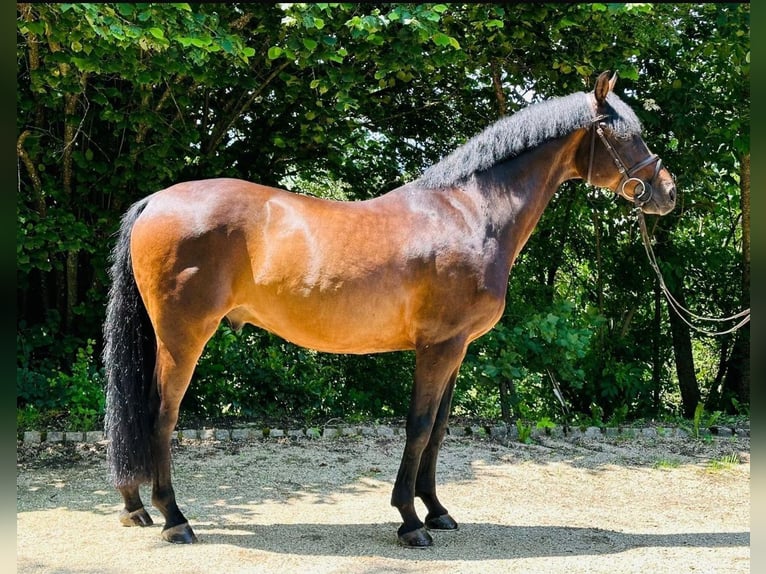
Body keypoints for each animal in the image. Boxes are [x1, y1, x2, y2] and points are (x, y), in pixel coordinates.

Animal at [103, 71, 680, 548]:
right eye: (627, 135)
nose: (668, 193)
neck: (469, 213)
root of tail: (156, 201)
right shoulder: (438, 347)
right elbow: (419, 426)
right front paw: (408, 520)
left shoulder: (456, 349)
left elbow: (440, 430)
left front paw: (437, 511)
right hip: (183, 339)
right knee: (160, 415)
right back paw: (175, 519)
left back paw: (135, 508)